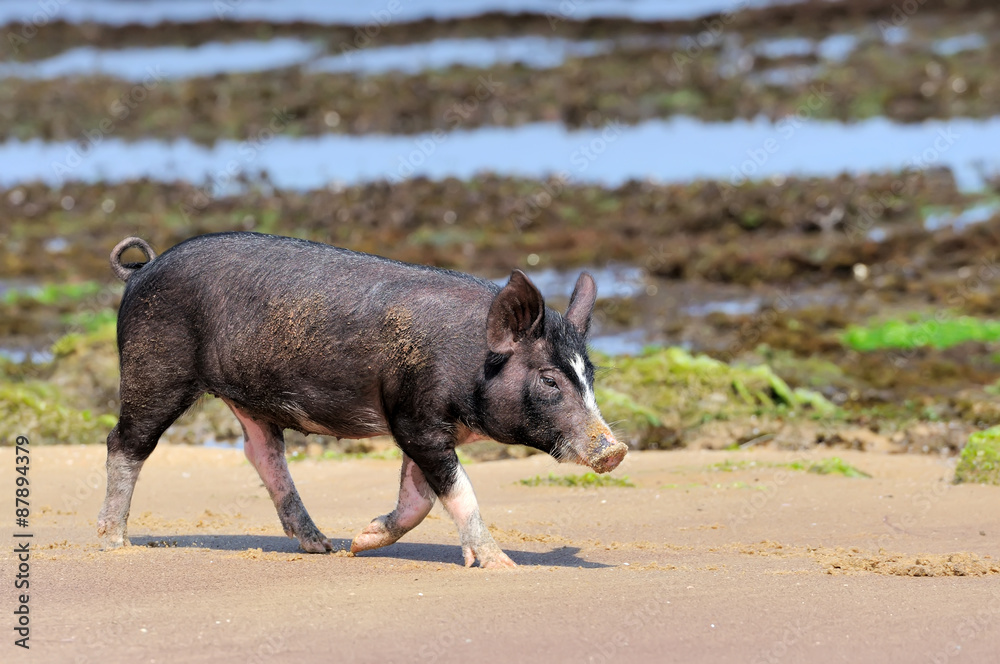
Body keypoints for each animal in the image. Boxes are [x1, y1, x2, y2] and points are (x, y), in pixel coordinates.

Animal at [95, 231, 624, 568]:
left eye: (589, 375)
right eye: (550, 380)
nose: (615, 449)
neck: (471, 361)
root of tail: (141, 270)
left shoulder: (415, 419)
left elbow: (419, 497)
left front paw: (361, 541)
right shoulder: (416, 421)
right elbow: (458, 492)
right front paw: (502, 565)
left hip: (247, 397)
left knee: (261, 451)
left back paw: (322, 547)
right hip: (155, 367)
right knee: (125, 442)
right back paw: (113, 542)